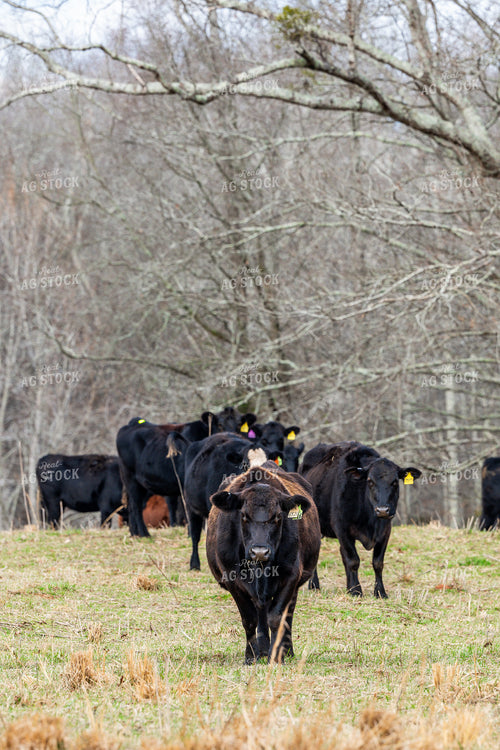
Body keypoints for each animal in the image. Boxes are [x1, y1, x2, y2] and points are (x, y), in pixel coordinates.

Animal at [206, 450, 321, 663]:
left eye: (277, 517)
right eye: (243, 515)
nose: (259, 551)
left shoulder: (290, 576)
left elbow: (277, 617)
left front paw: (276, 657)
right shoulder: (232, 579)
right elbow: (249, 619)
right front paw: (251, 657)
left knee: (286, 615)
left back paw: (285, 650)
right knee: (260, 611)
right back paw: (262, 650)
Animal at [300, 441, 421, 597]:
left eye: (395, 482)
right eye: (370, 481)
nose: (382, 510)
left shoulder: (385, 531)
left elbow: (378, 563)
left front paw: (380, 592)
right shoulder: (342, 529)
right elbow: (353, 560)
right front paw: (356, 591)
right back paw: (314, 585)